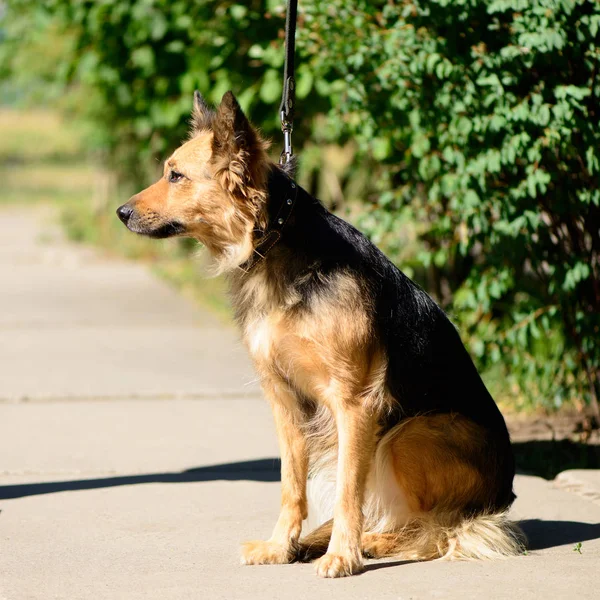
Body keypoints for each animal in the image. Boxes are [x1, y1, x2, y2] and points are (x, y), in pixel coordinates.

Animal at [117, 91, 524, 580]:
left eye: (175, 176)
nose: (121, 212)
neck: (273, 239)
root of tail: (500, 497)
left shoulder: (354, 402)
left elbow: (349, 492)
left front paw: (342, 555)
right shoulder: (285, 399)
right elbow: (291, 485)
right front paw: (281, 546)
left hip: (406, 435)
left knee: (435, 528)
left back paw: (367, 542)